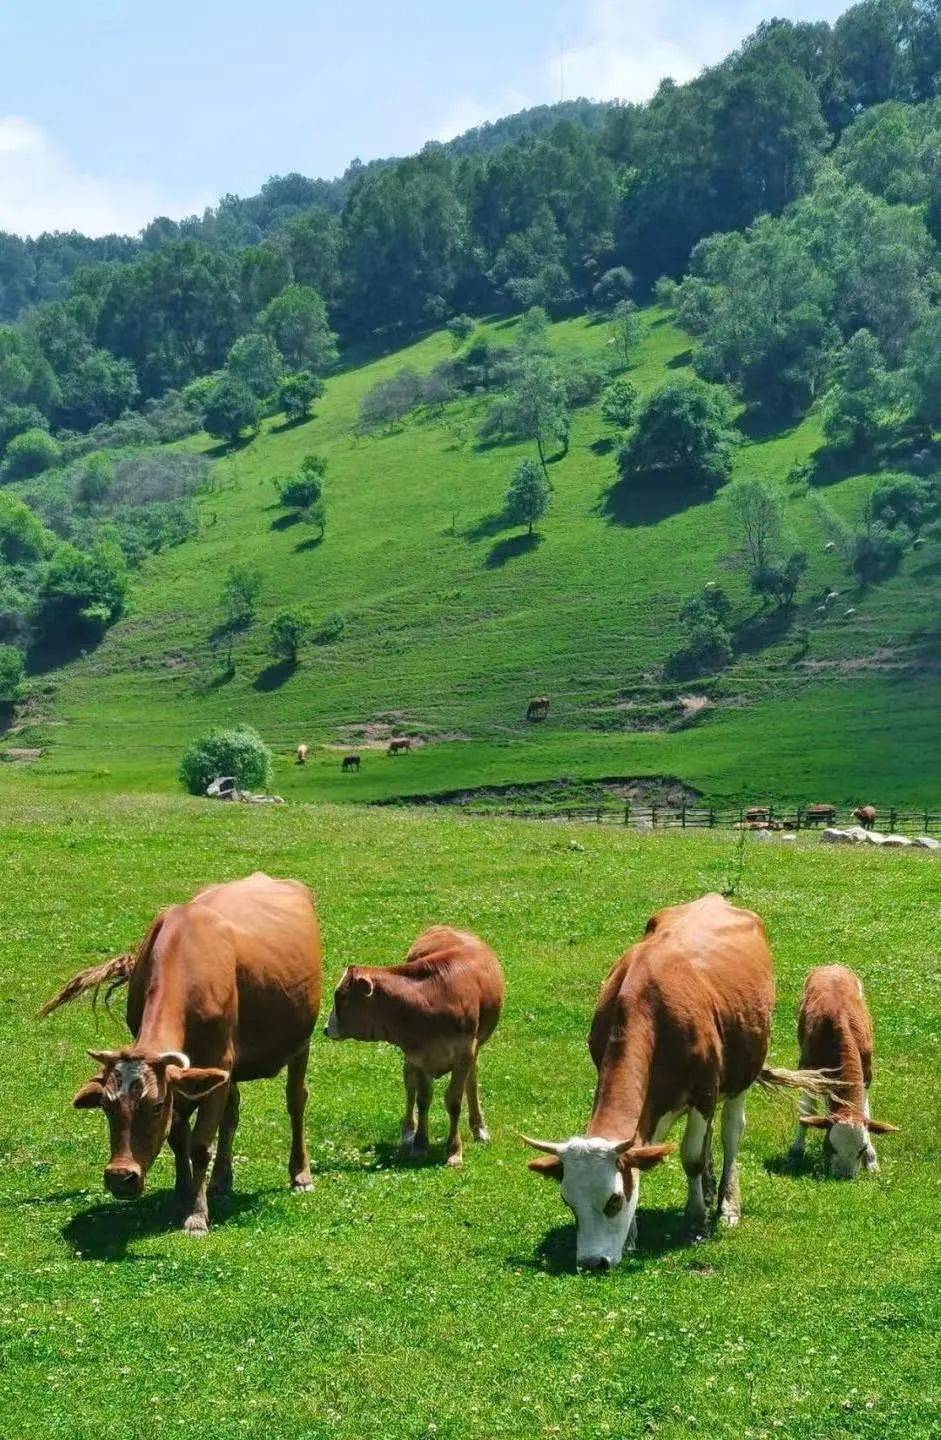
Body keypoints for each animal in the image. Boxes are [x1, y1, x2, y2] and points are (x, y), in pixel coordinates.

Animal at [39, 869, 322, 1232]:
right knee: (232, 1112)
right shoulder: (196, 1076)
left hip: (301, 1042)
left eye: (156, 1106)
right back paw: (220, 1181)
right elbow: (179, 1138)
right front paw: (183, 1194)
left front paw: (197, 1216)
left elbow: (199, 1144)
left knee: (296, 1099)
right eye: (106, 1105)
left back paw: (300, 1174)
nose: (120, 1177)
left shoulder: (217, 1062)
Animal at [324, 921, 501, 1169]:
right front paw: (419, 1144)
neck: (429, 1000)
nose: (326, 1028)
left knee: (471, 1083)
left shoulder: (463, 1054)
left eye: (341, 996)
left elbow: (454, 1101)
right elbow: (422, 1099)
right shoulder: (420, 1056)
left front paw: (454, 1150)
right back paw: (408, 1130)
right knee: (410, 1086)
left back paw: (479, 1128)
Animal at [521, 892, 824, 1278]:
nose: (592, 1263)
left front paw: (695, 1221)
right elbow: (644, 1158)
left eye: (613, 1200)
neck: (649, 1006)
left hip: (741, 1075)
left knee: (730, 1132)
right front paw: (632, 1236)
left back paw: (726, 1204)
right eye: (567, 1200)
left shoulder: (704, 1093)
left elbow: (690, 1157)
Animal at [783, 961, 893, 1175]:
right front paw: (796, 1151)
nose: (844, 1177)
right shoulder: (807, 1070)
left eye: (861, 1150)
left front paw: (871, 1160)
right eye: (831, 1147)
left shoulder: (867, 1075)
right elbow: (806, 1112)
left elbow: (866, 1112)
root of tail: (832, 966)